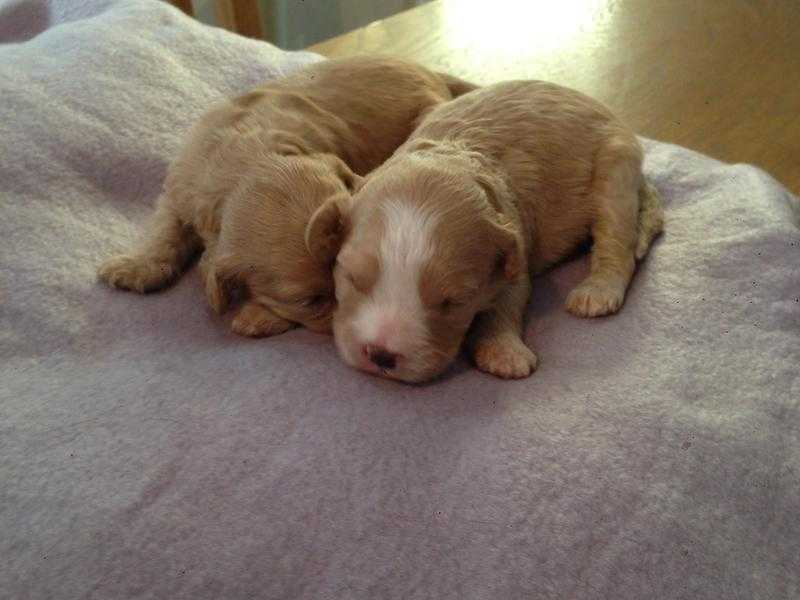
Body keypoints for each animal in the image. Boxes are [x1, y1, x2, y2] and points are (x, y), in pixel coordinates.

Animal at [98, 55, 476, 338]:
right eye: (310, 301)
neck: (248, 156)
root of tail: (431, 73)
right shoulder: (180, 186)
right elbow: (165, 229)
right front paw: (138, 267)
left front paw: (256, 316)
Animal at [306, 79, 664, 382]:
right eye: (352, 278)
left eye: (452, 302)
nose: (381, 354)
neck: (450, 157)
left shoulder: (513, 249)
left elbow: (507, 301)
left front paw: (504, 352)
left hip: (615, 168)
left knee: (617, 240)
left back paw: (597, 292)